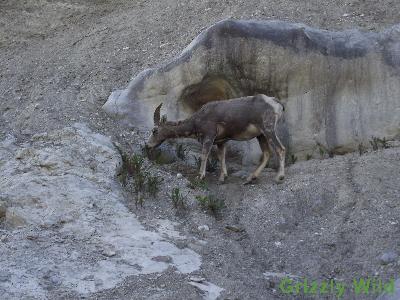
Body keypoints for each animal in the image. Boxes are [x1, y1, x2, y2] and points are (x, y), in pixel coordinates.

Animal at [145, 94, 286, 183]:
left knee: (280, 149)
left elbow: (204, 155)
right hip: (260, 135)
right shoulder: (221, 142)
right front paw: (222, 178)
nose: (147, 146)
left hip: (268, 129)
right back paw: (250, 178)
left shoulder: (209, 136)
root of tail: (276, 103)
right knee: (267, 153)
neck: (197, 121)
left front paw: (200, 177)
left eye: (154, 130)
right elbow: (221, 157)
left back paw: (279, 177)